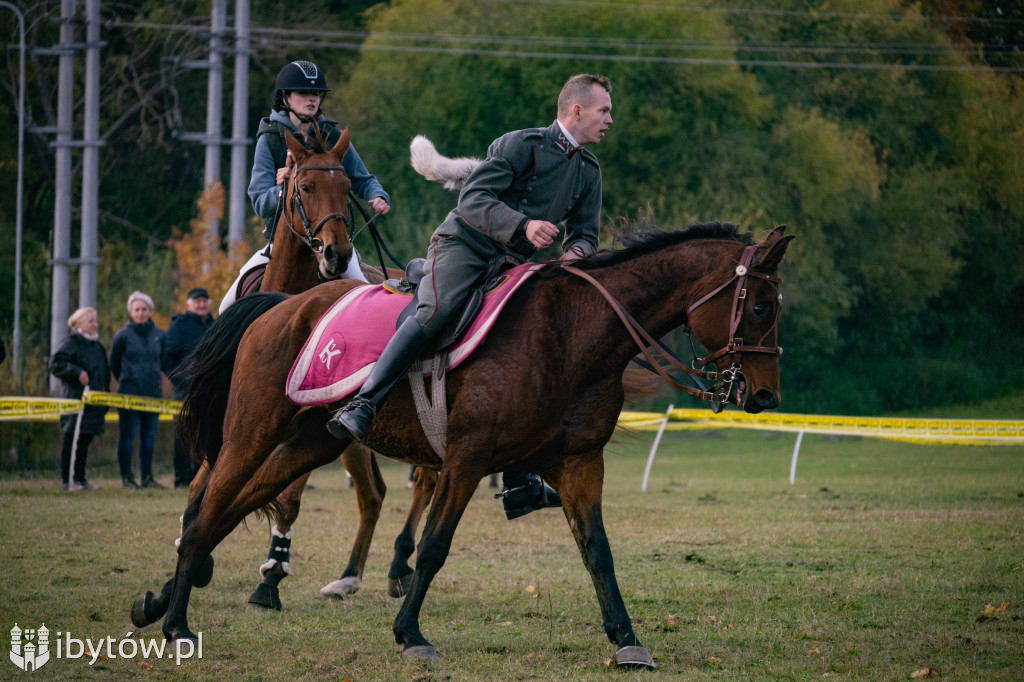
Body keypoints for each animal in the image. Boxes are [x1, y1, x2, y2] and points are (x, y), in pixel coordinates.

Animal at [136, 222, 790, 663]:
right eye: (760, 306)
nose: (763, 394)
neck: (571, 334)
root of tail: (282, 306)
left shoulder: (579, 465)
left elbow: (598, 552)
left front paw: (627, 640)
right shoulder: (466, 461)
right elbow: (433, 548)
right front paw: (409, 633)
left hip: (310, 444)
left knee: (231, 511)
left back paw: (162, 604)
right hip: (252, 434)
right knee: (208, 508)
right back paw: (177, 624)